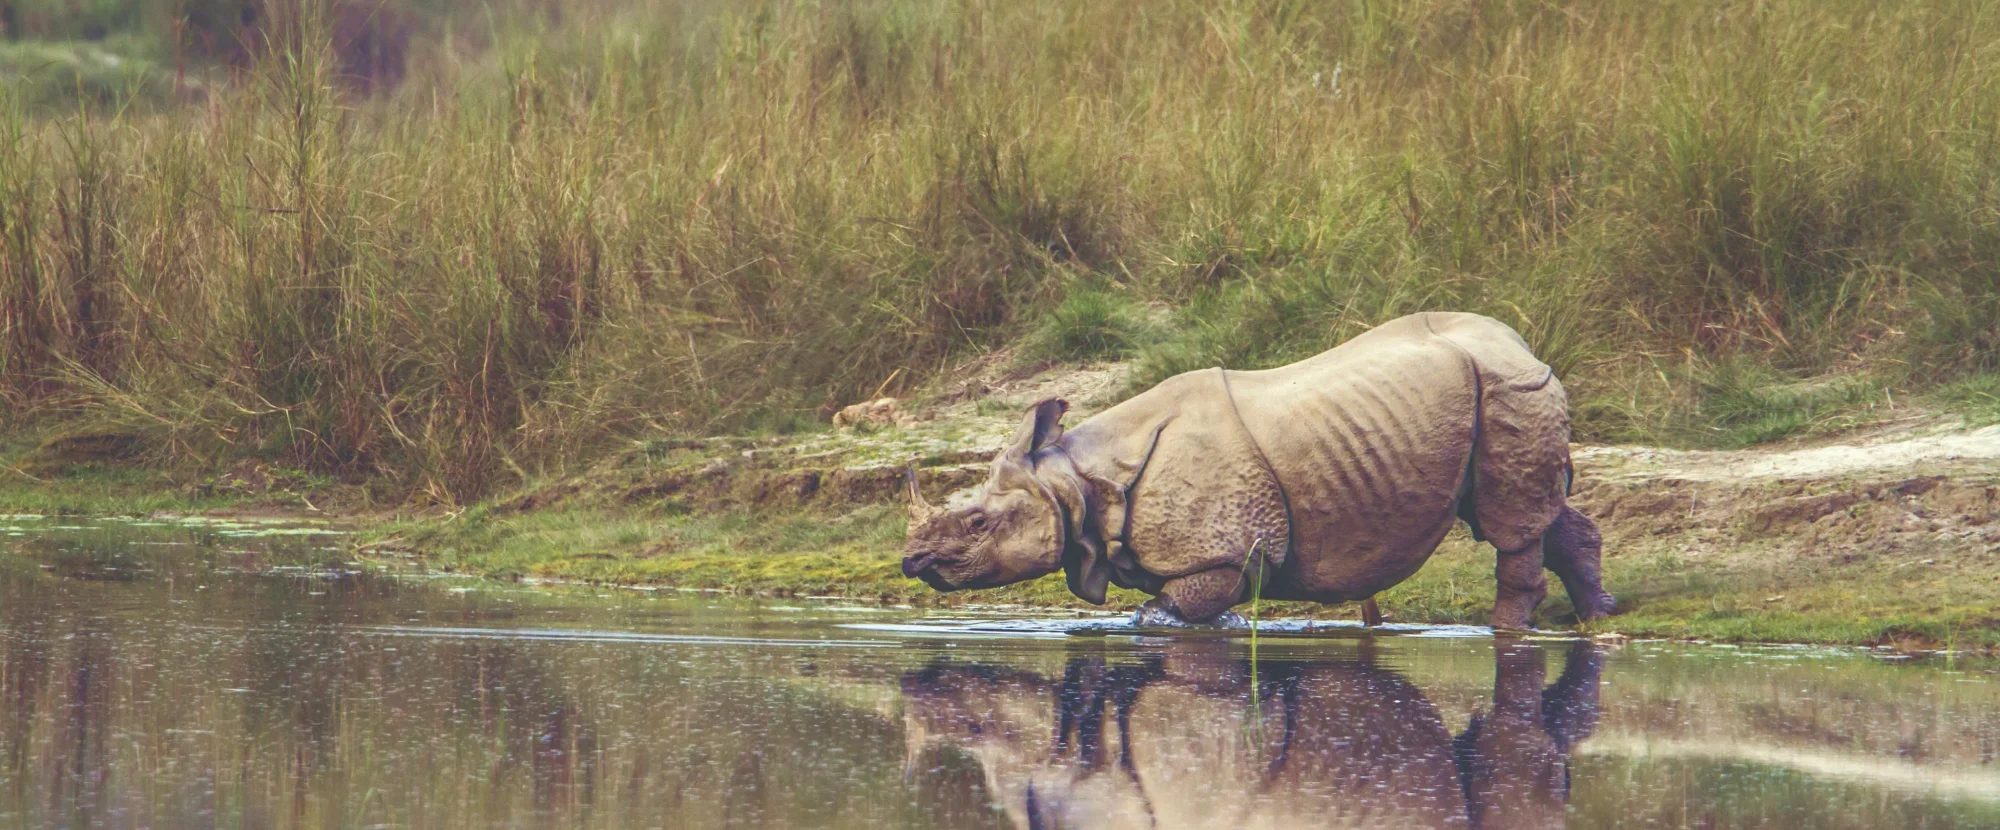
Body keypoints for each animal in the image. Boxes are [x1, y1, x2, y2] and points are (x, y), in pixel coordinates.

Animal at [902, 311, 1614, 629]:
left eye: (976, 522)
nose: (911, 561)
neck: (1077, 482)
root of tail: (1519, 340)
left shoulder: (1224, 550)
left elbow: (1169, 612)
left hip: (1507, 386)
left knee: (1508, 521)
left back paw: (1506, 630)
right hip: (1493, 387)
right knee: (1532, 510)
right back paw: (1597, 615)